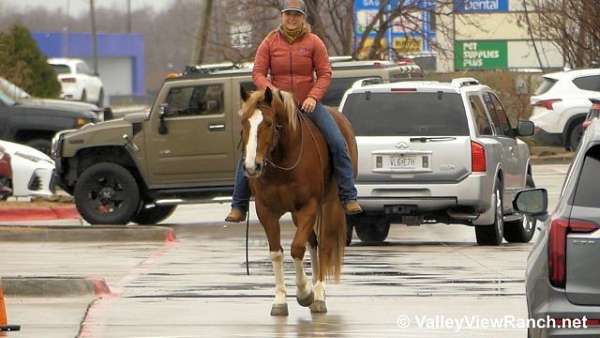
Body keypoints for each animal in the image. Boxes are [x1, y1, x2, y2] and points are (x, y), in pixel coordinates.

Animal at [240, 87, 356, 316]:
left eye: (269, 123)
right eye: (244, 123)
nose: (251, 166)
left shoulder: (308, 207)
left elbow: (296, 249)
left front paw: (305, 293)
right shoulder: (266, 211)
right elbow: (277, 253)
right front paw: (280, 300)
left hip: (329, 205)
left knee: (323, 245)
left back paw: (318, 295)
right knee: (313, 243)